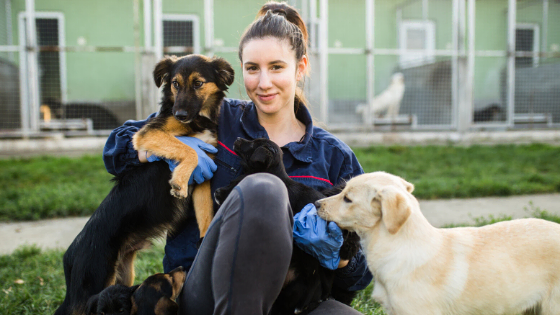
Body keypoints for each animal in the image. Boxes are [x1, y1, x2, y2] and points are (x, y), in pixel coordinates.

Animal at [54, 55, 234, 315]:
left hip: (123, 277)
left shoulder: (204, 175)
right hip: (94, 284)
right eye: (175, 84)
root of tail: (70, 257)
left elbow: (205, 214)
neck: (198, 119)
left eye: (198, 83)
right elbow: (188, 148)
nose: (180, 114)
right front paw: (178, 182)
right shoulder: (148, 134)